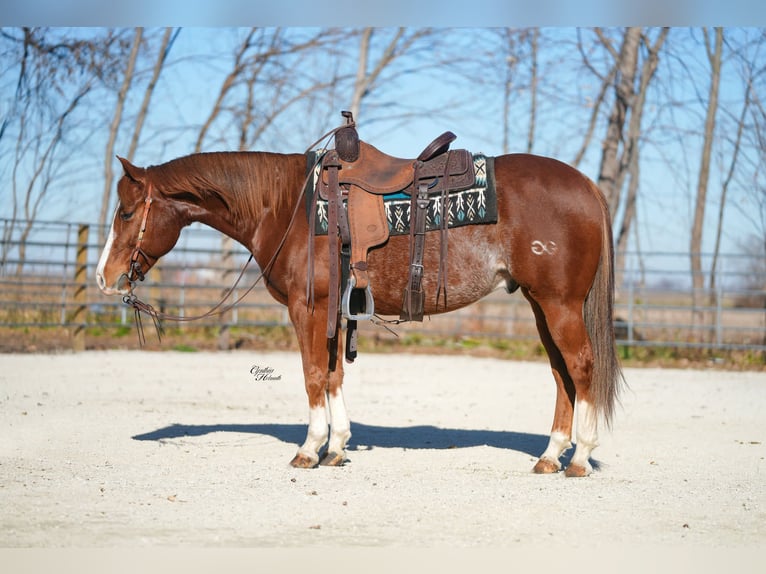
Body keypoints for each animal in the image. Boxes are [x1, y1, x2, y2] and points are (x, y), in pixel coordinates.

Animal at [96, 145, 623, 477]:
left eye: (126, 212)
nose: (104, 276)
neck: (287, 207)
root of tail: (586, 185)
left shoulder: (308, 309)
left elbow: (312, 375)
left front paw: (309, 449)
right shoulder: (333, 313)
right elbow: (333, 375)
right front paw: (336, 447)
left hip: (559, 305)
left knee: (581, 367)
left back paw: (579, 458)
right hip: (541, 305)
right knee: (561, 375)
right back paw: (550, 456)